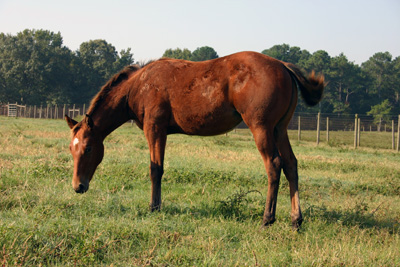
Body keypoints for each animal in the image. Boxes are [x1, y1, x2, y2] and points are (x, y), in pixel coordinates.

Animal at [64, 51, 324, 229]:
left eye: (88, 148)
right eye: (71, 149)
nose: (78, 186)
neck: (138, 85)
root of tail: (283, 66)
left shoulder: (154, 129)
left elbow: (155, 169)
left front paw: (154, 207)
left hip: (261, 128)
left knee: (274, 165)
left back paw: (267, 218)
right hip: (279, 129)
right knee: (291, 165)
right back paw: (296, 220)